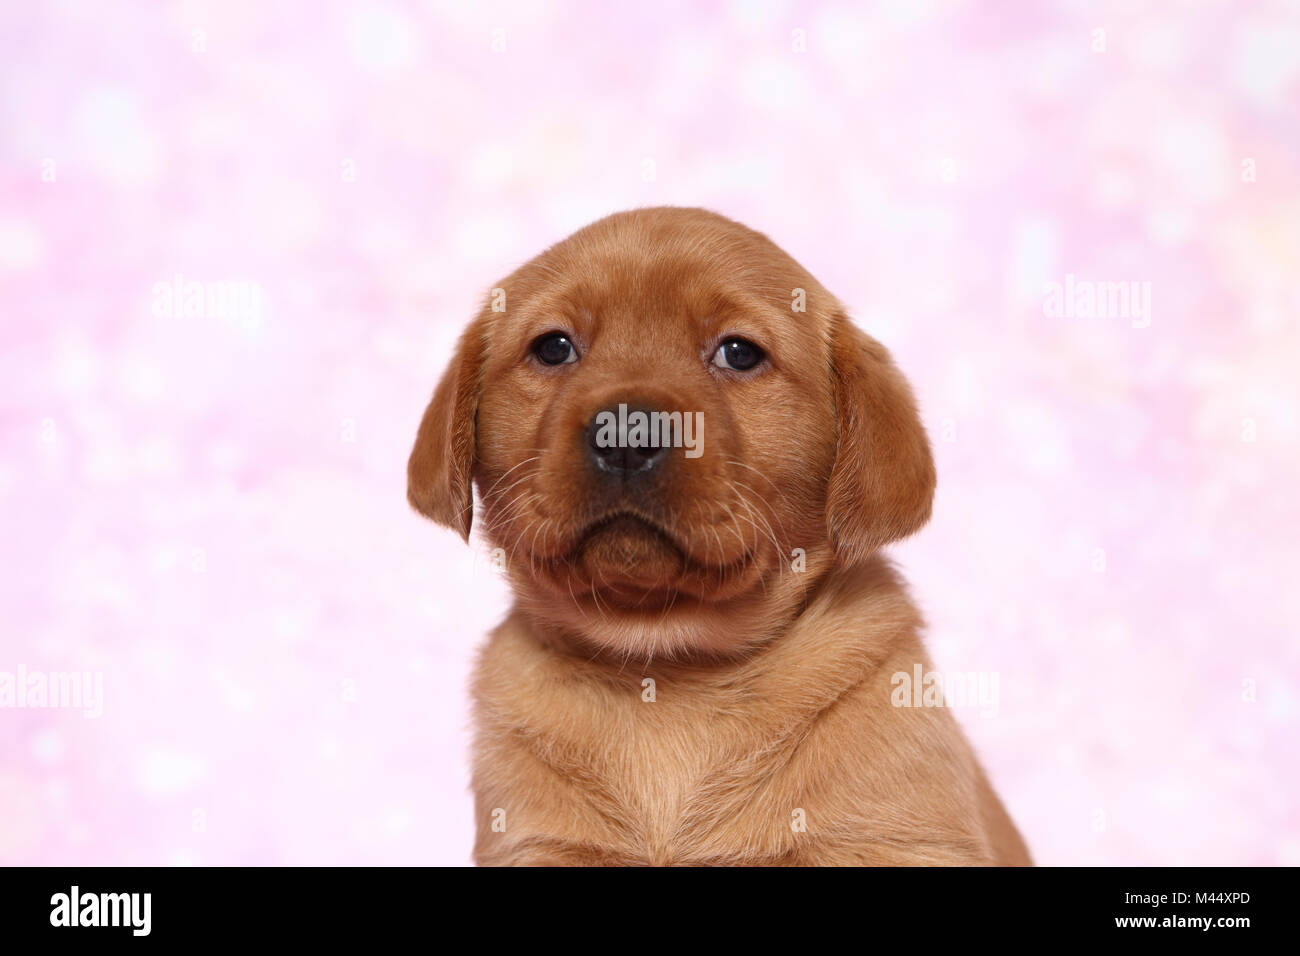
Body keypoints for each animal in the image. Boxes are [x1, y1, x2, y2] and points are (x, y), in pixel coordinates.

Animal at [410, 208, 1029, 868]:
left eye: (739, 352)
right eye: (553, 348)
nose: (626, 432)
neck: (667, 670)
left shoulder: (892, 839)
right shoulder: (540, 843)